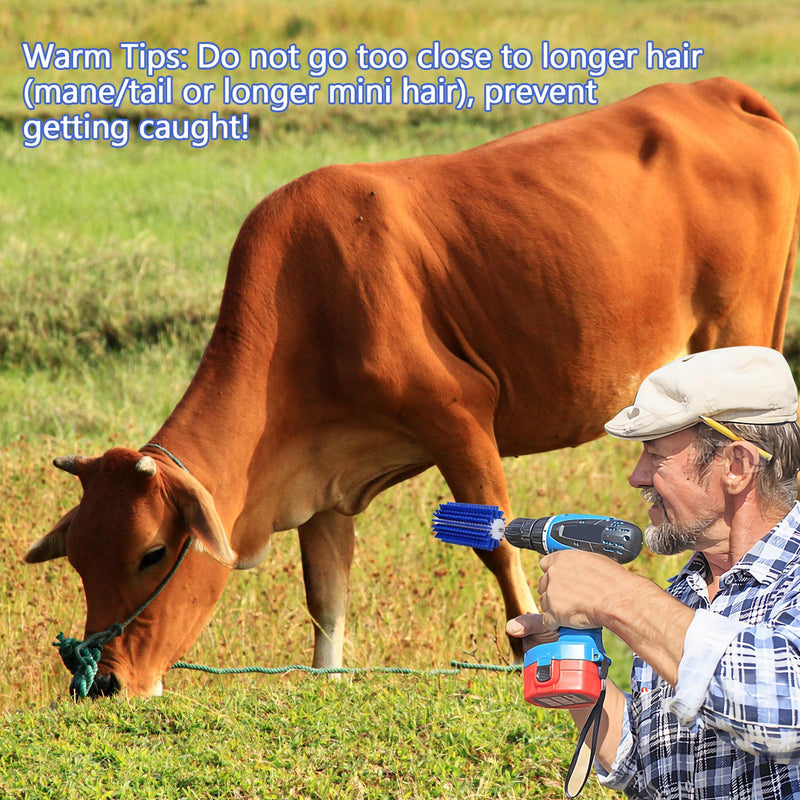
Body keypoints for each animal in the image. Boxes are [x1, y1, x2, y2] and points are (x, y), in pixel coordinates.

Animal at [25, 78, 800, 698]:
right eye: (81, 563)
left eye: (151, 554)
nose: (103, 683)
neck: (303, 304)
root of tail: (714, 91)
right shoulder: (323, 486)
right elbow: (326, 594)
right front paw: (329, 680)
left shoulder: (458, 415)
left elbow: (495, 544)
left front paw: (528, 651)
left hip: (740, 333)